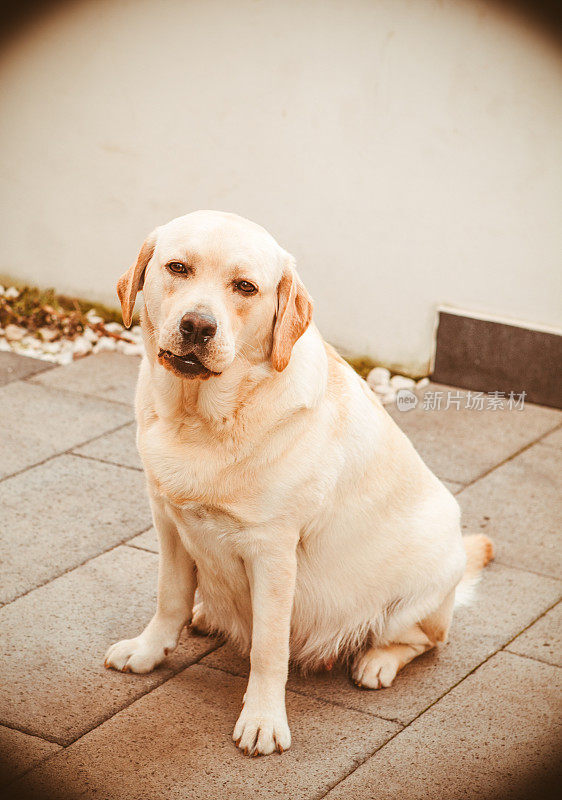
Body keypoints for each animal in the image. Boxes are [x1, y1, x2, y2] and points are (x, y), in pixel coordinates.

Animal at [105, 211, 490, 756]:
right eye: (177, 268)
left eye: (245, 287)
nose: (198, 325)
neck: (201, 418)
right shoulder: (169, 524)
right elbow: (169, 598)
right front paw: (148, 650)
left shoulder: (273, 552)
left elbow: (269, 647)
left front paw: (263, 719)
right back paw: (209, 614)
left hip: (423, 585)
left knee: (423, 639)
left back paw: (375, 661)